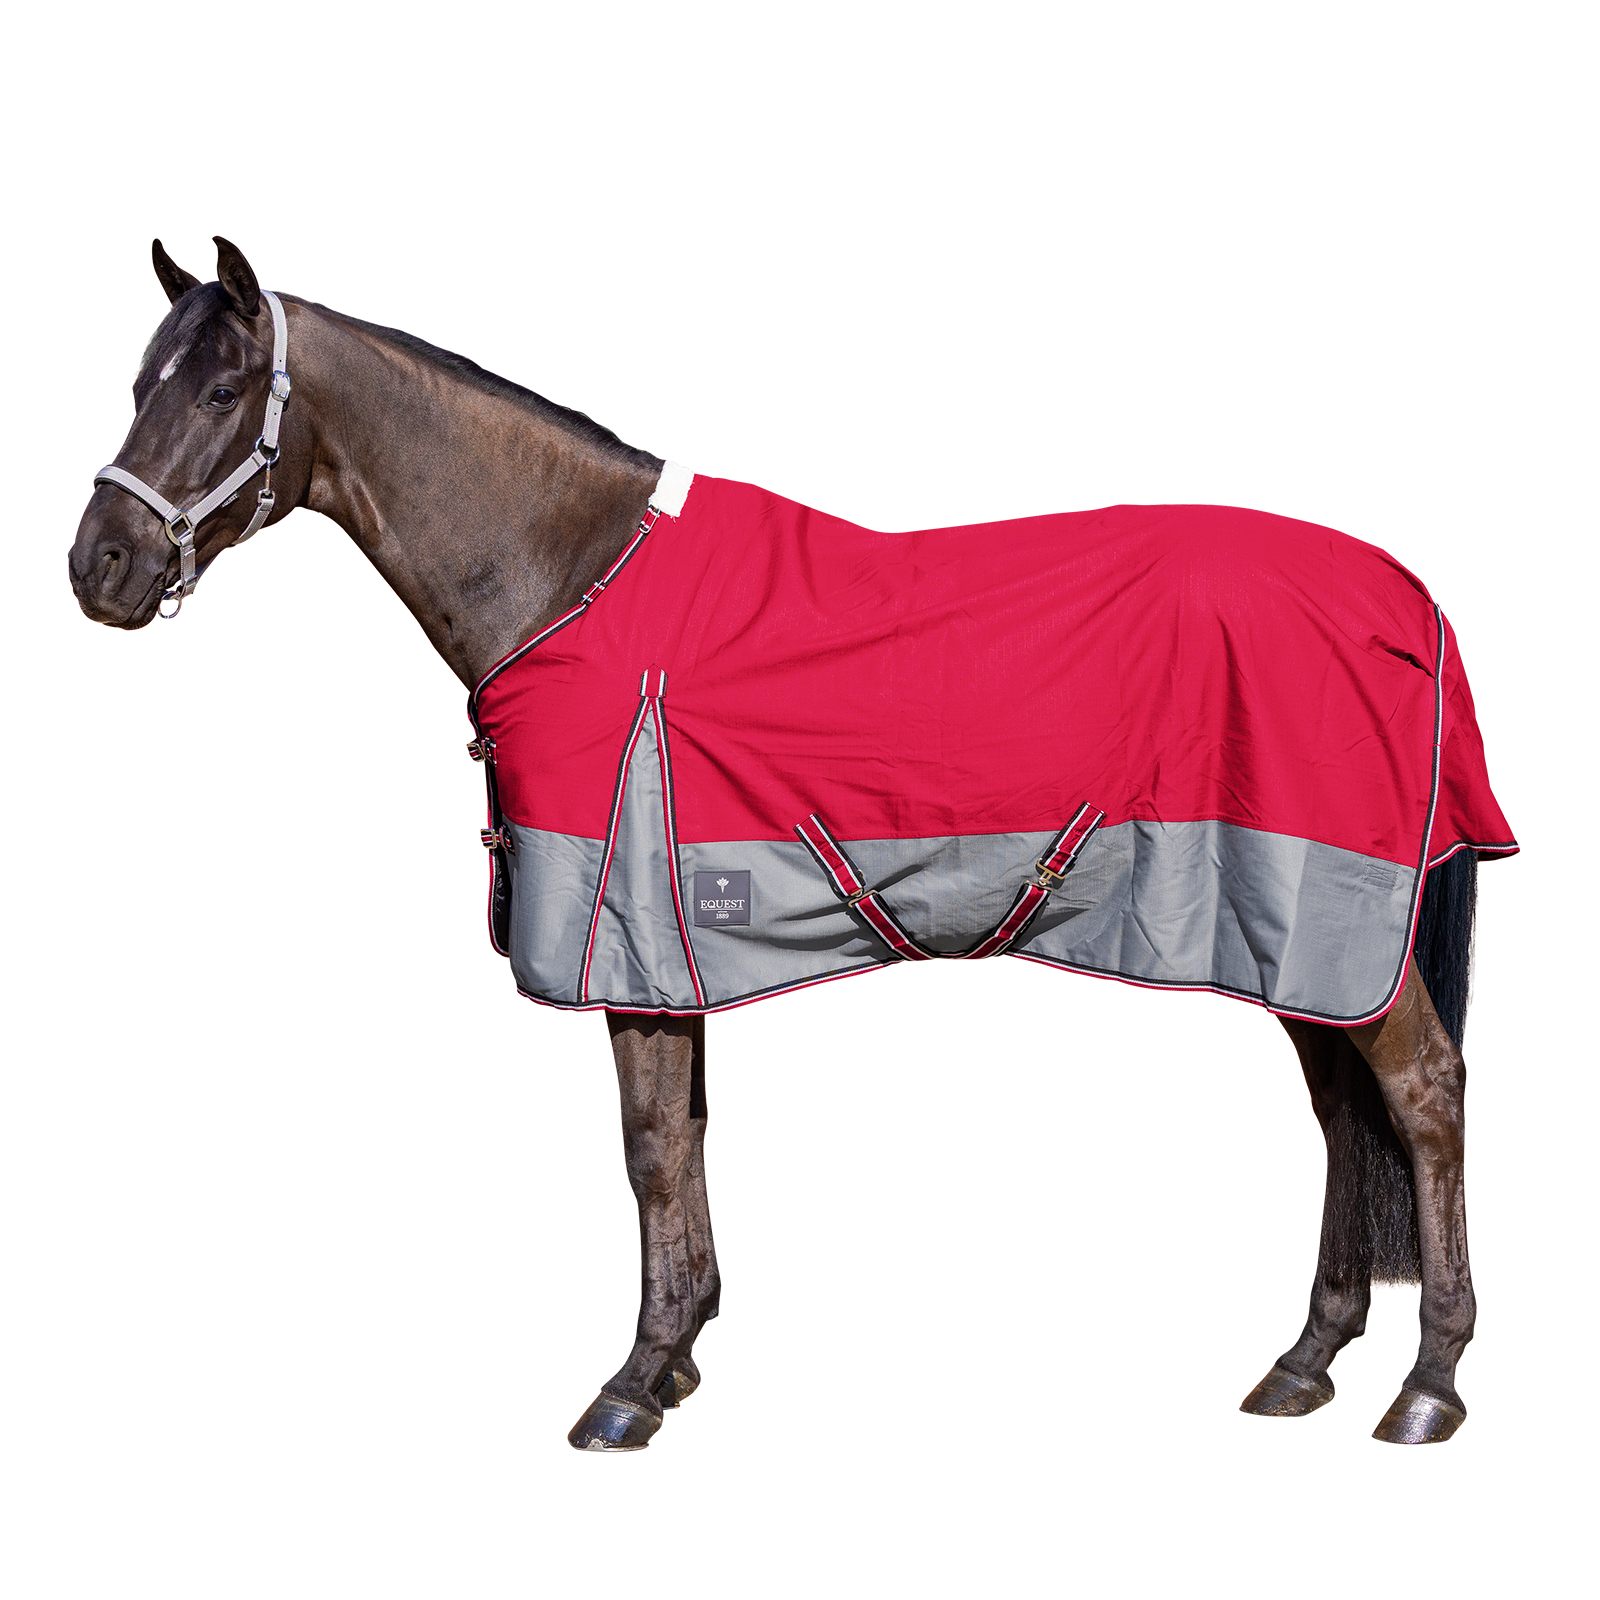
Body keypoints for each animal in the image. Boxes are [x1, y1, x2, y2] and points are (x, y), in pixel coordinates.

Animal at [69, 236, 1511, 1451]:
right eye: (137, 379)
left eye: (219, 390)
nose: (99, 568)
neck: (570, 577)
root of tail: (1399, 593)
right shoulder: (667, 947)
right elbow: (685, 1146)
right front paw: (681, 1355)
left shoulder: (626, 937)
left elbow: (651, 1149)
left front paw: (627, 1389)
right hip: (1301, 932)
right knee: (1344, 1113)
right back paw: (1302, 1365)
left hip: (1335, 922)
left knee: (1423, 1103)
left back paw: (1429, 1389)